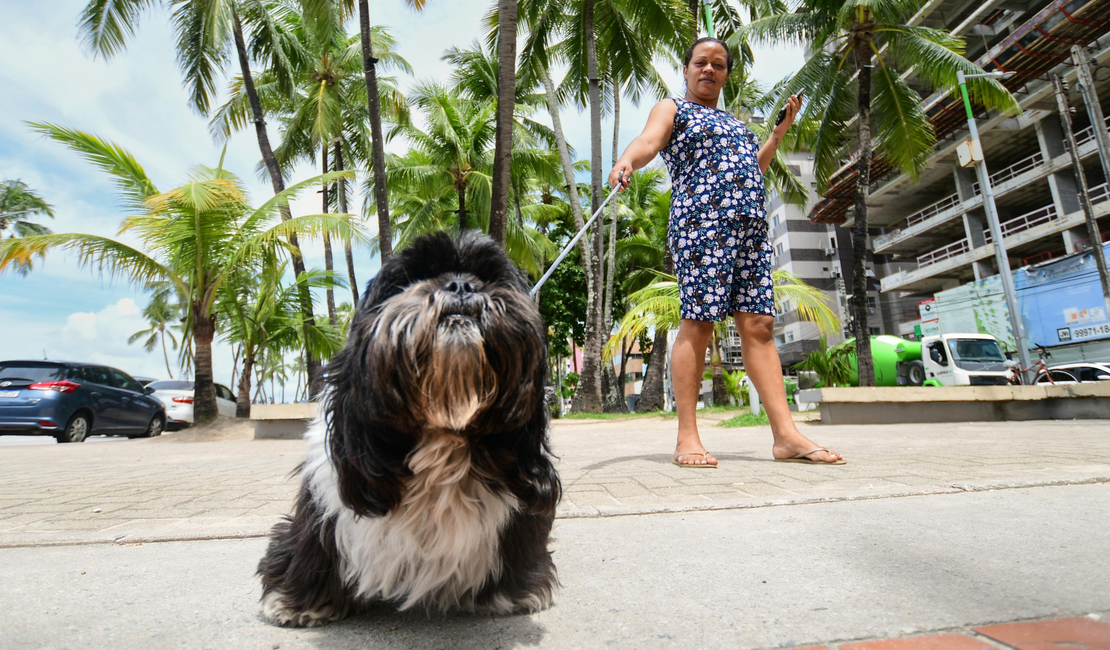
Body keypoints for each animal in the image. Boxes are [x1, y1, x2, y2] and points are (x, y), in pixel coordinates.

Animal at [255, 230, 559, 625]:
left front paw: (512, 593)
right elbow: (316, 543)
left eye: (489, 277)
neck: (442, 435)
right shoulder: (326, 502)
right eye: (412, 278)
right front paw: (298, 601)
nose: (461, 284)